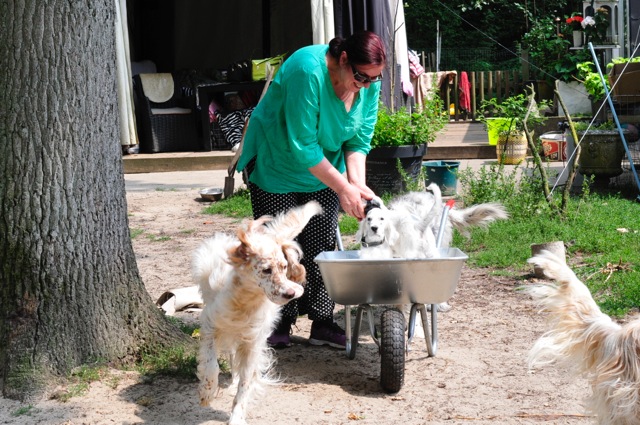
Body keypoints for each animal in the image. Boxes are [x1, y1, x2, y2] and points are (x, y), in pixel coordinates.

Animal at [194, 200, 324, 422]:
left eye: (284, 267)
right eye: (266, 270)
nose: (290, 293)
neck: (245, 303)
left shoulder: (252, 343)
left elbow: (245, 384)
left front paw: (236, 417)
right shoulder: (211, 326)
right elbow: (212, 365)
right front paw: (207, 393)